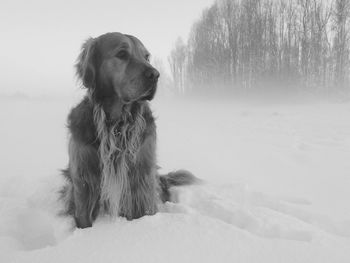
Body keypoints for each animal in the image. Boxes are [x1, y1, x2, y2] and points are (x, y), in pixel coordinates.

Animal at [60, 31, 197, 229]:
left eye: (146, 57)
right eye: (122, 54)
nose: (155, 74)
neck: (117, 123)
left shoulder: (142, 174)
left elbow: (146, 209)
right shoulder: (83, 177)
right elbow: (83, 218)